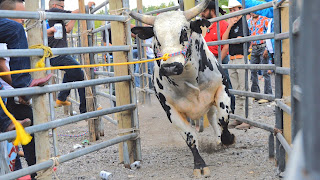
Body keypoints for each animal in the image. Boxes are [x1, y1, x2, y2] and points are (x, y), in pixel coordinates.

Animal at [129, 0, 235, 177]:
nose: (170, 67)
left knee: (213, 117)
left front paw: (227, 138)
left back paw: (219, 139)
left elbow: (223, 118)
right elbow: (190, 137)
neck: (189, 80)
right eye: (156, 37)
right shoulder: (171, 110)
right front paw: (199, 165)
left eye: (184, 33)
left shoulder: (222, 89)